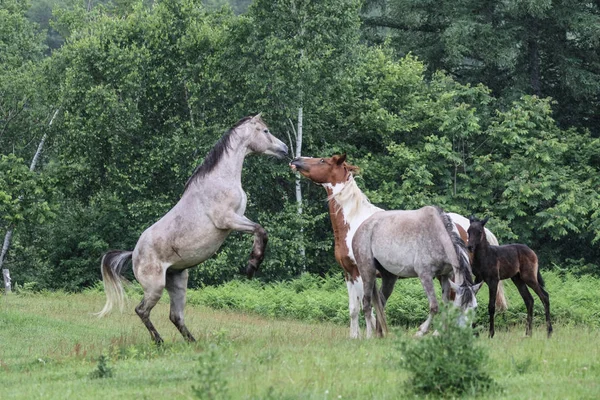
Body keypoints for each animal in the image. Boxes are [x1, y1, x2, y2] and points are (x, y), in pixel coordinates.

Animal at [96, 114, 288, 342]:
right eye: (266, 131)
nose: (285, 149)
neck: (220, 179)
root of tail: (133, 254)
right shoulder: (228, 220)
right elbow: (260, 230)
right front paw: (252, 265)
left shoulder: (238, 217)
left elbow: (260, 230)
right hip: (155, 287)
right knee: (142, 310)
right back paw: (160, 341)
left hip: (178, 281)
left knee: (175, 316)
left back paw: (193, 343)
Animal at [290, 154, 482, 338]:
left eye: (322, 160)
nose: (296, 160)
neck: (354, 220)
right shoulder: (348, 273)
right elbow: (354, 309)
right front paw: (355, 336)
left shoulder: (359, 272)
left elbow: (366, 305)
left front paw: (368, 333)